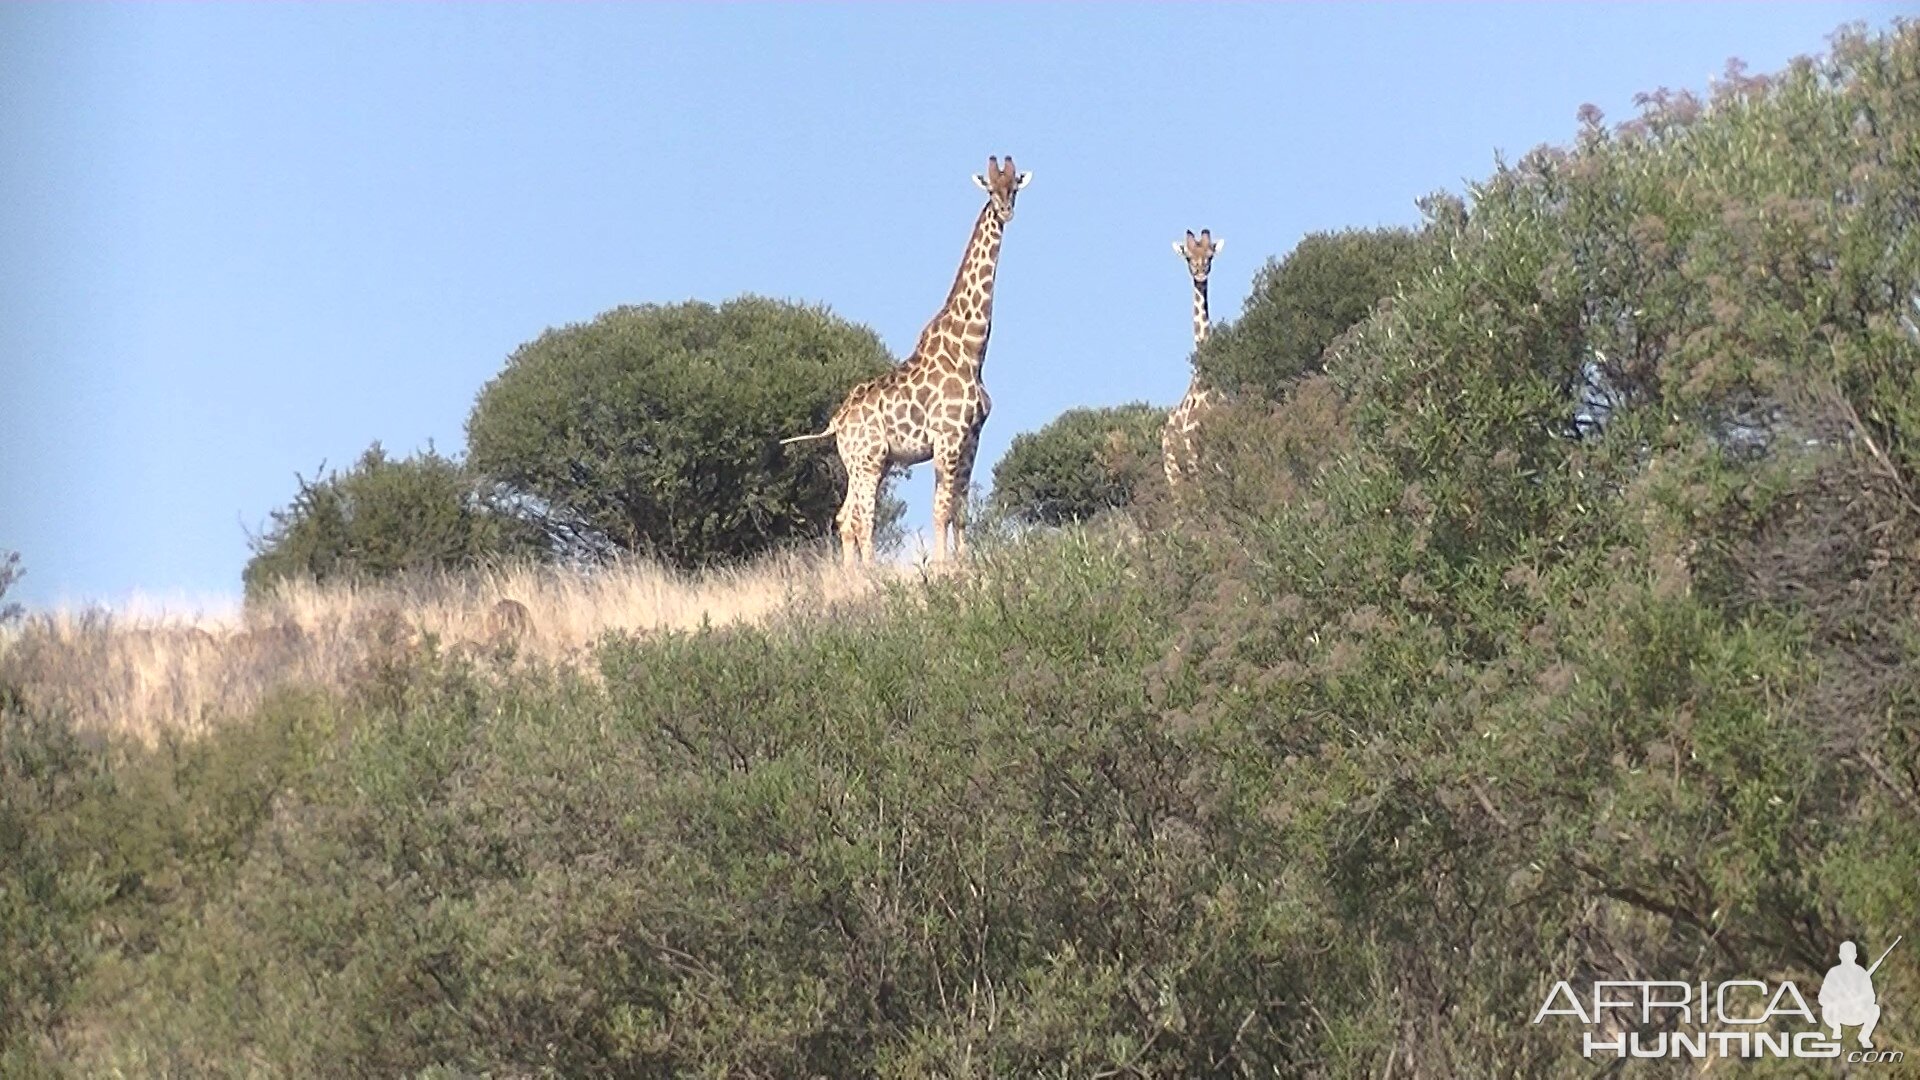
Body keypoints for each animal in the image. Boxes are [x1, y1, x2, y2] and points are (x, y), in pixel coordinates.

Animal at [779, 159, 1029, 568]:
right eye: (991, 189)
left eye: (1015, 188)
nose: (1006, 211)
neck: (971, 350)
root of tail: (836, 423)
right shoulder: (947, 437)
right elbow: (941, 509)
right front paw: (942, 568)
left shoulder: (971, 438)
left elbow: (959, 508)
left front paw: (962, 564)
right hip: (869, 459)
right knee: (860, 518)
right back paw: (870, 574)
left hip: (864, 463)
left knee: (844, 517)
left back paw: (852, 576)